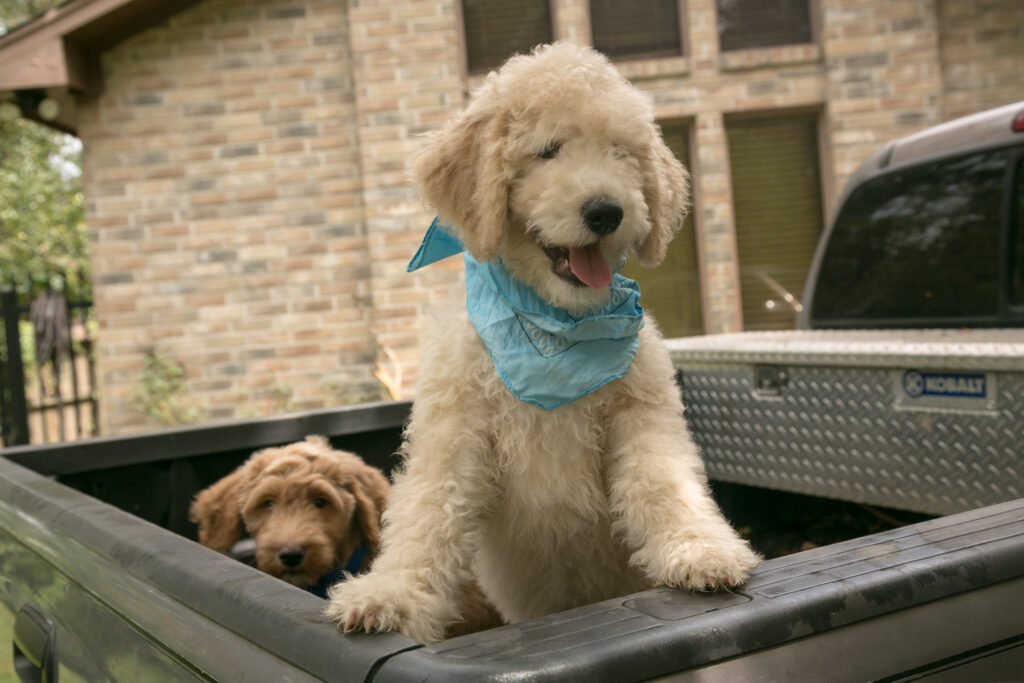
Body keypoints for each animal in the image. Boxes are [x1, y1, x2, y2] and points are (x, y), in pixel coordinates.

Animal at [327, 41, 761, 643]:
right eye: (548, 150)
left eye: (621, 152)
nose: (606, 211)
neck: (554, 327)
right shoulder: (454, 428)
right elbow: (429, 510)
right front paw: (390, 593)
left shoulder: (641, 415)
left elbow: (661, 483)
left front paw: (700, 550)